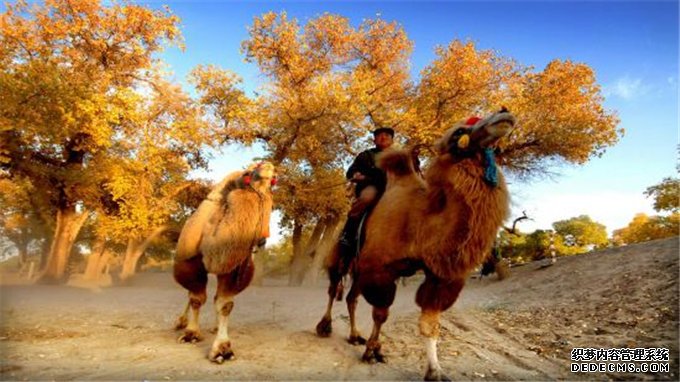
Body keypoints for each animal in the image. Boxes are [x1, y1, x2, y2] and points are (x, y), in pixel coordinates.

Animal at [173, 162, 276, 364]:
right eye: (248, 173)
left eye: (275, 180)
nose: (268, 166)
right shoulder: (192, 264)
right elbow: (196, 299)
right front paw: (191, 334)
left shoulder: (233, 269)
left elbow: (224, 305)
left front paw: (222, 350)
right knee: (191, 295)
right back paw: (180, 322)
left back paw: (212, 327)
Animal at [316, 109, 512, 380]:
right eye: (459, 132)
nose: (504, 114)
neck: (421, 223)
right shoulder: (380, 269)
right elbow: (381, 313)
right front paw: (372, 352)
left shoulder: (438, 276)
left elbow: (430, 323)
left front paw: (434, 370)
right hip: (341, 257)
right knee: (333, 287)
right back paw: (324, 327)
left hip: (359, 268)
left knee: (351, 297)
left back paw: (355, 336)